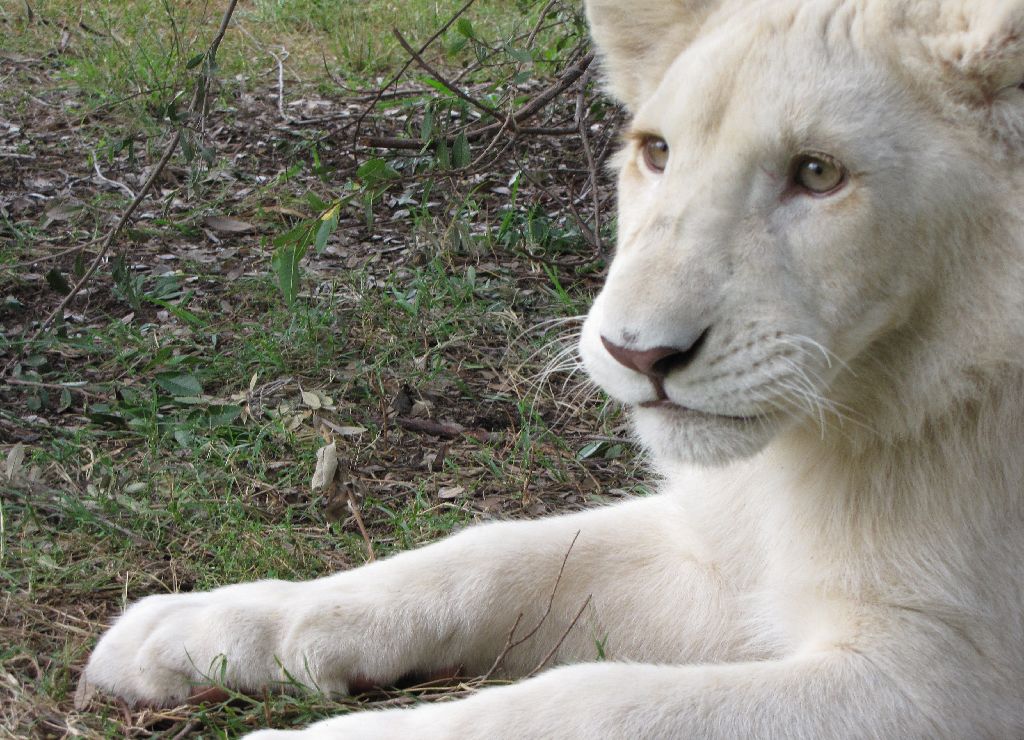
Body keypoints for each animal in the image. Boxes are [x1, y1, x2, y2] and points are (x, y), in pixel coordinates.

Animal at [83, 0, 1024, 736]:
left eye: (819, 173)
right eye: (656, 152)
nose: (637, 354)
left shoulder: (943, 685)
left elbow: (591, 701)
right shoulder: (711, 557)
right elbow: (489, 556)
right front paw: (201, 626)